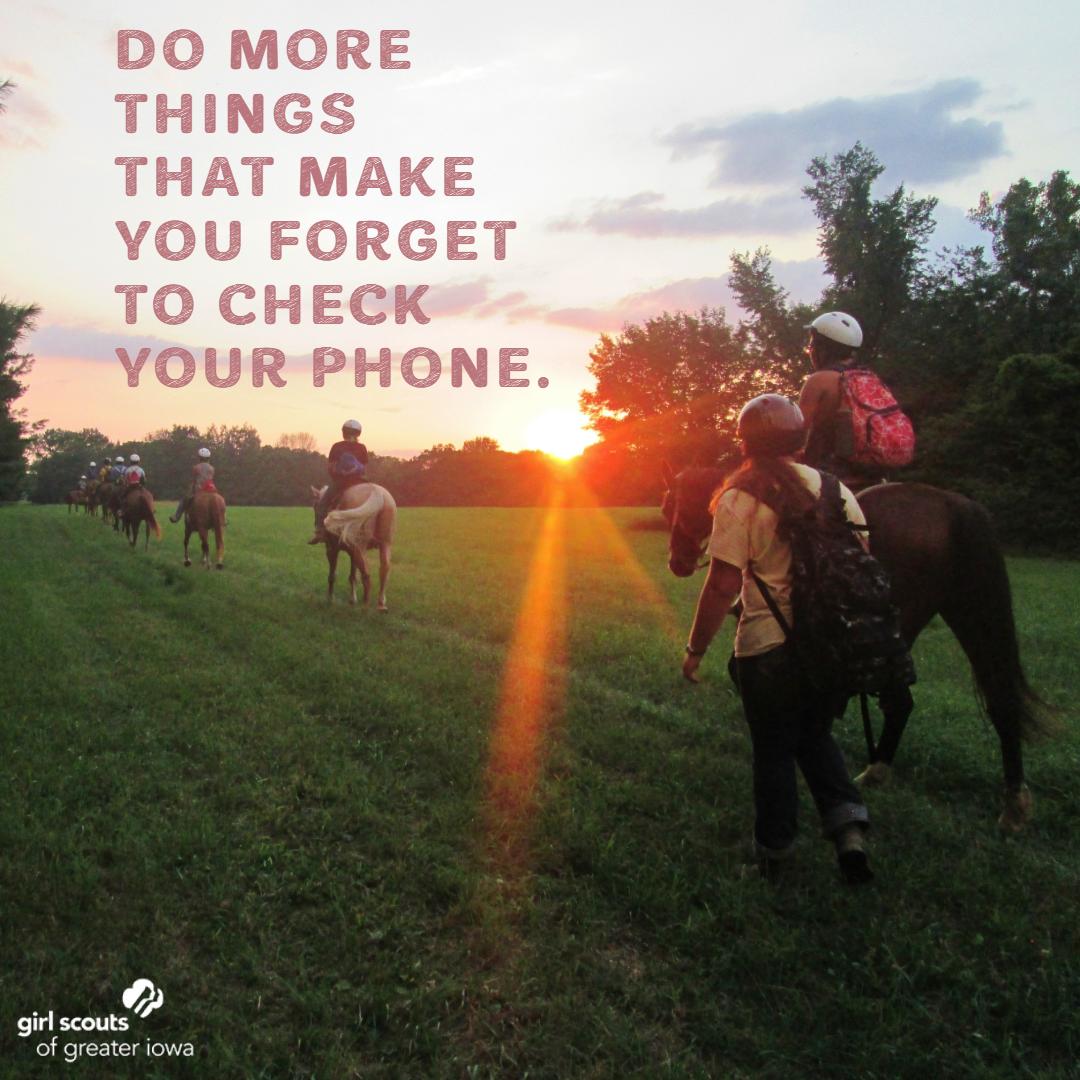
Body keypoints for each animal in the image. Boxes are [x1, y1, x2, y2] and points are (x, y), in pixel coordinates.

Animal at [661, 462, 1047, 831]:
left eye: (680, 504)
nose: (677, 562)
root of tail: (953, 505)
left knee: (900, 703)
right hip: (968, 614)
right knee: (996, 700)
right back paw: (1011, 801)